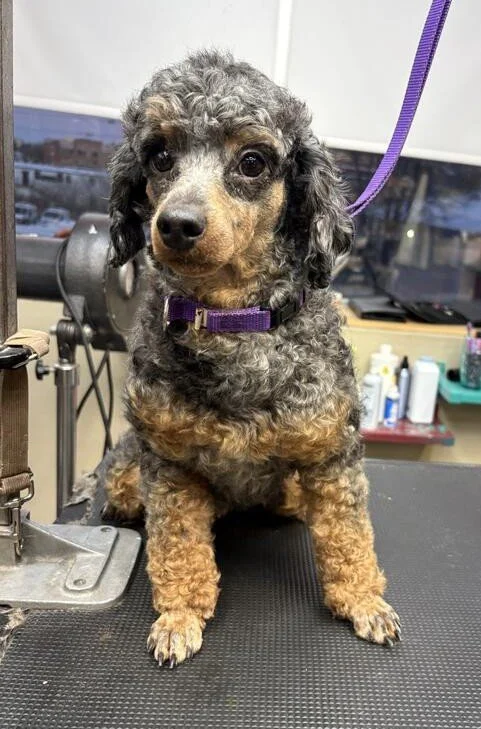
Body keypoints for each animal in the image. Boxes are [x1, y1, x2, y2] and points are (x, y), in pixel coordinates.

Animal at [105, 49, 401, 667]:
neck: (232, 320)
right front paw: (180, 615)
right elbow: (177, 546)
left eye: (253, 161)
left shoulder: (332, 452)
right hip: (127, 473)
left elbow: (348, 534)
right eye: (160, 155)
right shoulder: (168, 463)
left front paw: (363, 599)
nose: (176, 224)